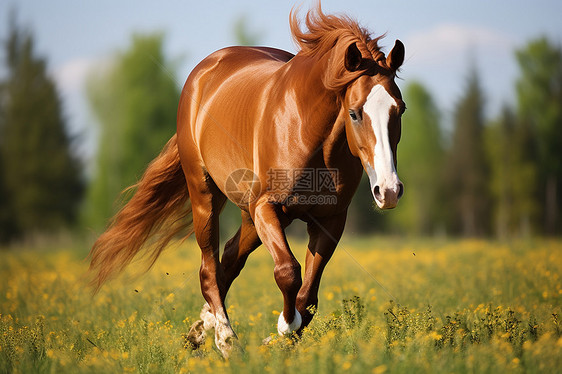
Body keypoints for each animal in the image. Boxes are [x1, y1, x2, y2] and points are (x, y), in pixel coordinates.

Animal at [86, 5, 402, 356]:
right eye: (354, 113)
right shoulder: (267, 207)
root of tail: (206, 69)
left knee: (228, 261)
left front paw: (280, 337)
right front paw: (282, 327)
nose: (389, 191)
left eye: (399, 110)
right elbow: (288, 272)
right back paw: (225, 340)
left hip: (249, 217)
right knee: (209, 269)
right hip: (206, 198)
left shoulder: (330, 220)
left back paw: (201, 330)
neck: (306, 129)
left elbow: (309, 297)